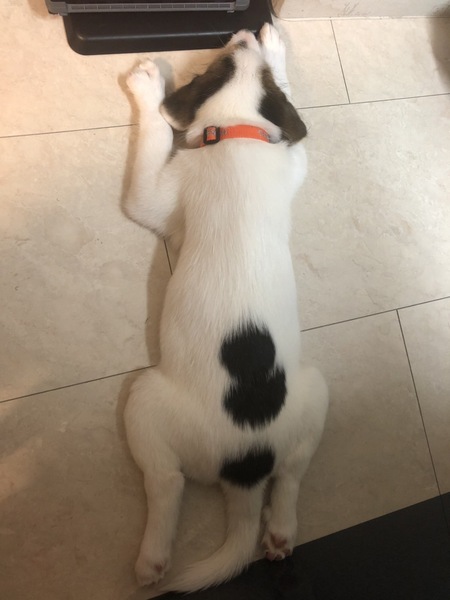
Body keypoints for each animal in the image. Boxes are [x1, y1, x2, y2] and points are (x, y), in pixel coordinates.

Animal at [123, 23, 329, 595]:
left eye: (217, 59)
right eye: (233, 55)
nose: (244, 29)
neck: (238, 131)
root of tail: (245, 468)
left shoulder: (154, 195)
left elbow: (153, 141)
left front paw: (148, 87)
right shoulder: (294, 161)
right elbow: (291, 116)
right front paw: (277, 48)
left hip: (145, 399)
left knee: (165, 482)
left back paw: (152, 560)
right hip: (316, 390)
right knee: (292, 473)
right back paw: (280, 530)